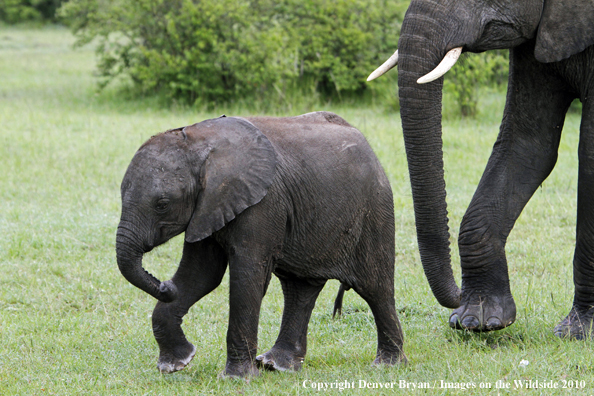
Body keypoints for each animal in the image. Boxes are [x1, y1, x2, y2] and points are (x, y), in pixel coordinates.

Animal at [115, 111, 402, 378]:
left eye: (162, 204)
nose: (164, 285)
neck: (200, 142)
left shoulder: (262, 202)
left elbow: (247, 276)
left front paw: (236, 378)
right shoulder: (208, 206)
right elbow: (201, 275)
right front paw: (175, 364)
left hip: (374, 209)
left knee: (375, 287)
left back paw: (388, 364)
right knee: (299, 289)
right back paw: (277, 365)